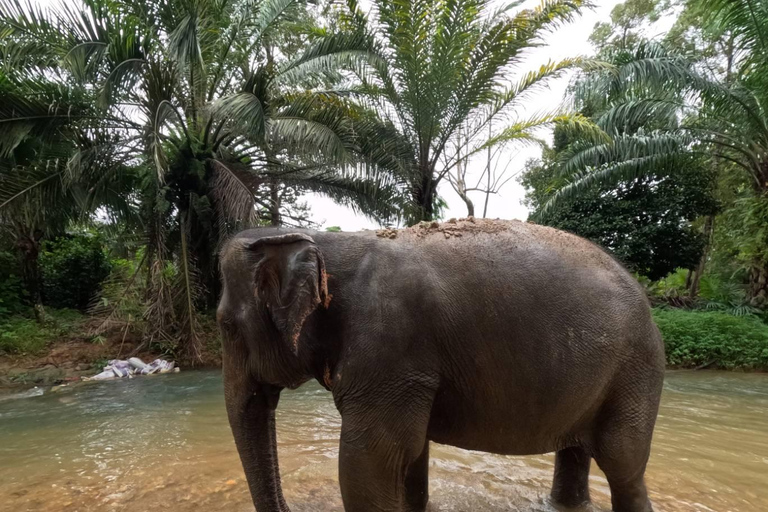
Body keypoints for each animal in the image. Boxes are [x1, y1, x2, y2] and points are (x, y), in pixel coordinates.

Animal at [218, 218, 664, 510]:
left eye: (224, 326)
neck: (327, 243)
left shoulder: (390, 348)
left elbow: (369, 463)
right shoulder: (407, 372)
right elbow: (410, 456)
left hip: (636, 370)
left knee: (623, 463)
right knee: (575, 451)